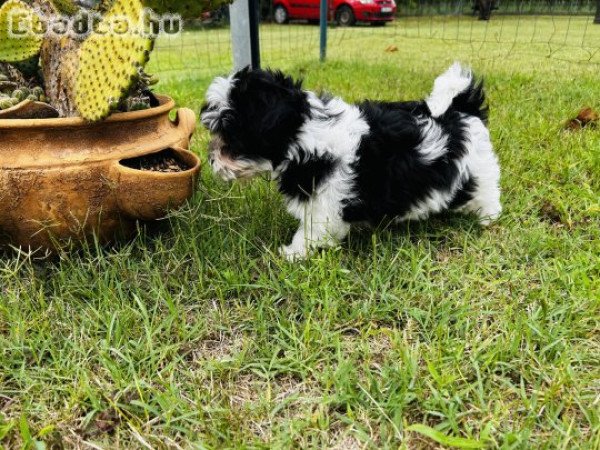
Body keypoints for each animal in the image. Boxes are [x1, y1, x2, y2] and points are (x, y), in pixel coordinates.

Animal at [200, 63, 502, 260]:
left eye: (230, 136)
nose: (211, 159)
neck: (305, 133)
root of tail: (463, 109)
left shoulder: (324, 202)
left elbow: (311, 229)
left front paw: (293, 253)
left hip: (479, 170)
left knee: (487, 191)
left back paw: (487, 218)